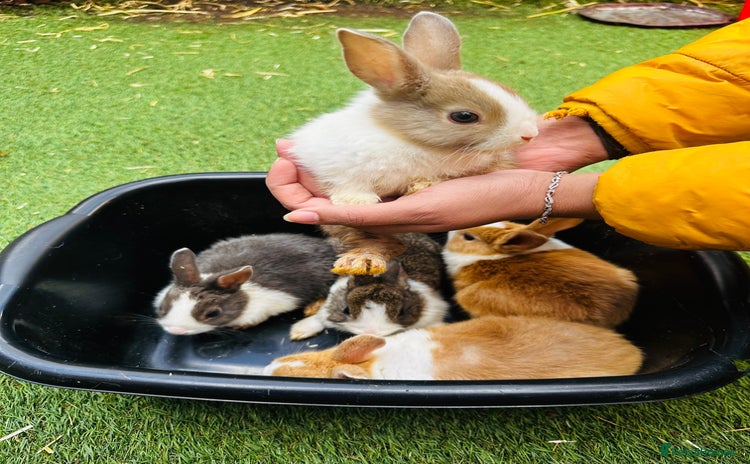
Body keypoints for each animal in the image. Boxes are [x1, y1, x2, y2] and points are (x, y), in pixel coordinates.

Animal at [287, 11, 538, 276]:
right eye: (464, 116)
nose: (529, 133)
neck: (413, 142)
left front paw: (422, 184)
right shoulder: (335, 163)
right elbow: (349, 183)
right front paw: (357, 201)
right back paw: (362, 261)